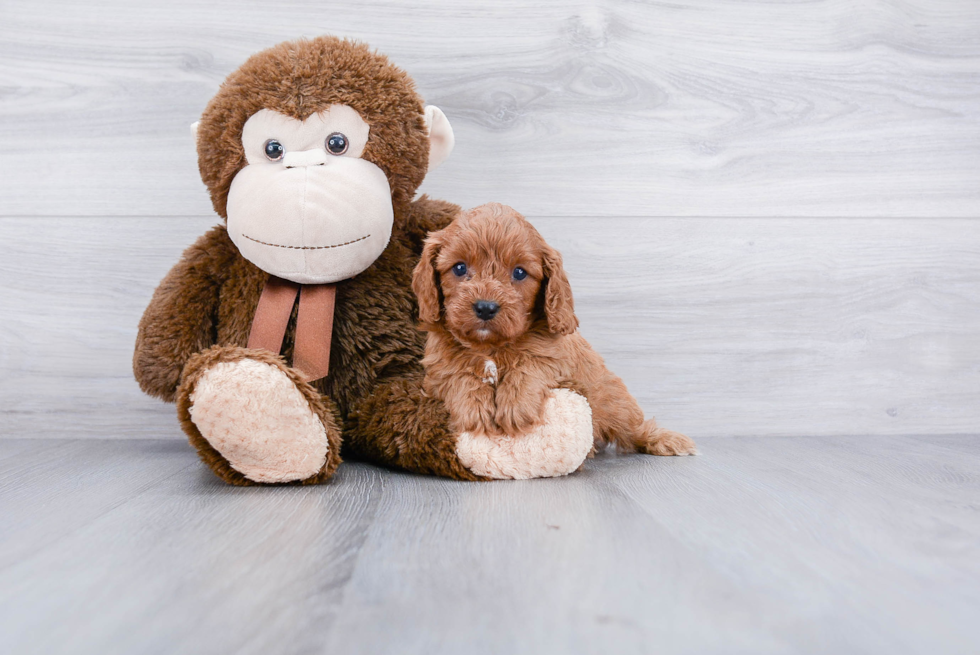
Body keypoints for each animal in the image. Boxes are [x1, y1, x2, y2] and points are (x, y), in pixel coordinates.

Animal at [414, 202, 696, 458]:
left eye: (519, 272)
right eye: (459, 267)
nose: (485, 307)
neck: (491, 346)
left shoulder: (554, 357)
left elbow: (530, 364)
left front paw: (515, 405)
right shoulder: (438, 365)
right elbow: (457, 373)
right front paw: (473, 407)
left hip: (613, 399)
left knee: (633, 426)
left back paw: (663, 439)